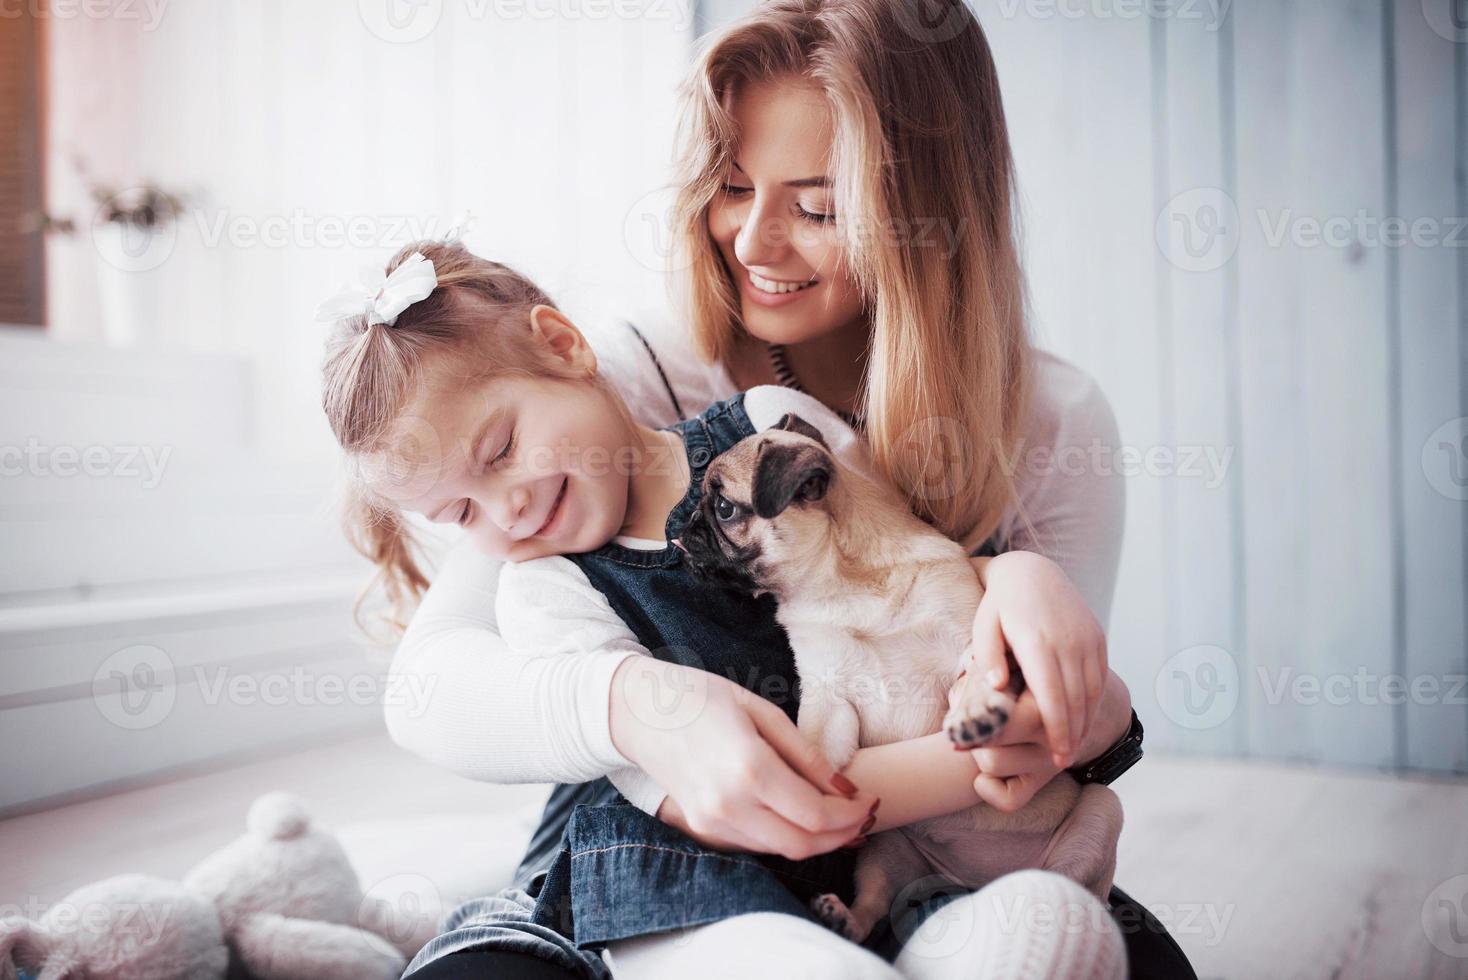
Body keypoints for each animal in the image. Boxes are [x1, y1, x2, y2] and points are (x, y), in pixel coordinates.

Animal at [675, 410, 1121, 938]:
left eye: (723, 508)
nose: (683, 526)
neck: (841, 585)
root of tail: (972, 883)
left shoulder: (969, 643)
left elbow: (979, 674)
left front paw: (977, 711)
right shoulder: (828, 695)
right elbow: (815, 742)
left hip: (1101, 813)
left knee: (1074, 884)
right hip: (884, 851)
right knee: (874, 902)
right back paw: (843, 916)